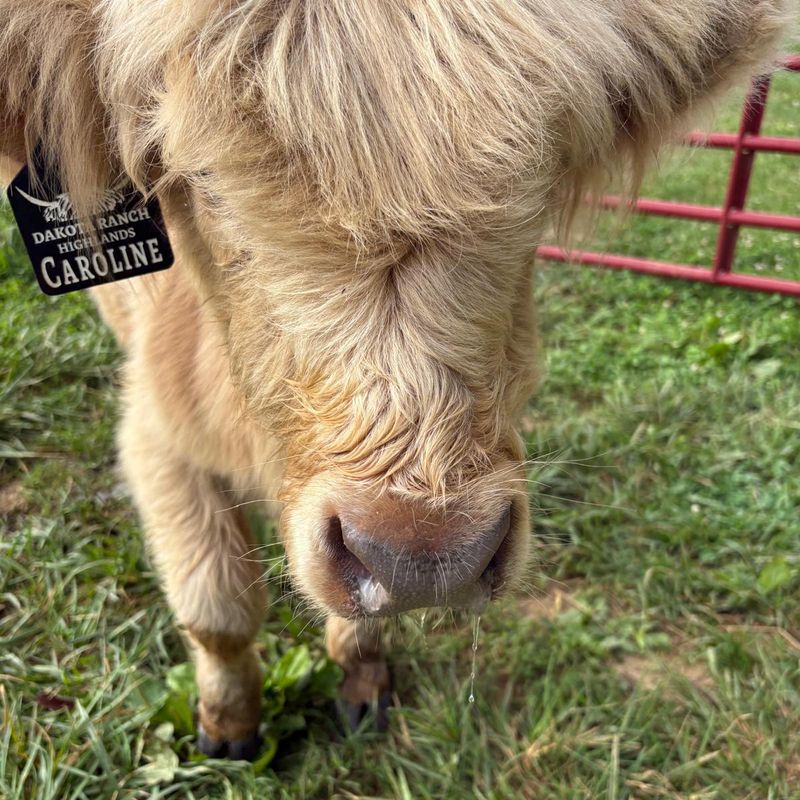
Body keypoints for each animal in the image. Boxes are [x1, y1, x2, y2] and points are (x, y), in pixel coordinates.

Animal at [0, 0, 790, 760]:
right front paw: (228, 729)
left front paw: (363, 683)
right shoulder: (158, 437)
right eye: (198, 182)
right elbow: (219, 611)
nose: (424, 558)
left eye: (542, 185)